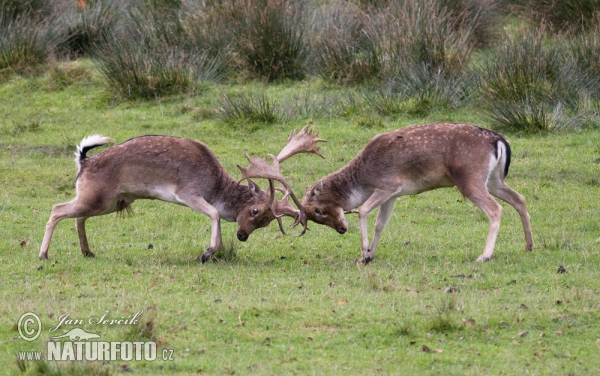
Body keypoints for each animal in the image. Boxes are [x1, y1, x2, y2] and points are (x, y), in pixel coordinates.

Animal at [39, 125, 326, 262]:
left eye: (266, 222)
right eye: (255, 210)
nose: (242, 236)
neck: (215, 185)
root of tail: (83, 161)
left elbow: (215, 215)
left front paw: (215, 251)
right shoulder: (187, 192)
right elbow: (214, 213)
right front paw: (208, 253)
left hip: (105, 201)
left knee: (77, 216)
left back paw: (87, 252)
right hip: (97, 198)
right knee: (56, 209)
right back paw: (43, 254)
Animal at [302, 123, 532, 264]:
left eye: (318, 210)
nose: (341, 229)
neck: (364, 178)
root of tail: (499, 141)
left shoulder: (388, 185)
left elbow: (364, 210)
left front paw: (364, 253)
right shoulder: (392, 195)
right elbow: (380, 223)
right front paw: (369, 255)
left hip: (470, 179)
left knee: (496, 209)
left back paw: (484, 256)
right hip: (494, 180)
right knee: (519, 198)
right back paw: (529, 245)